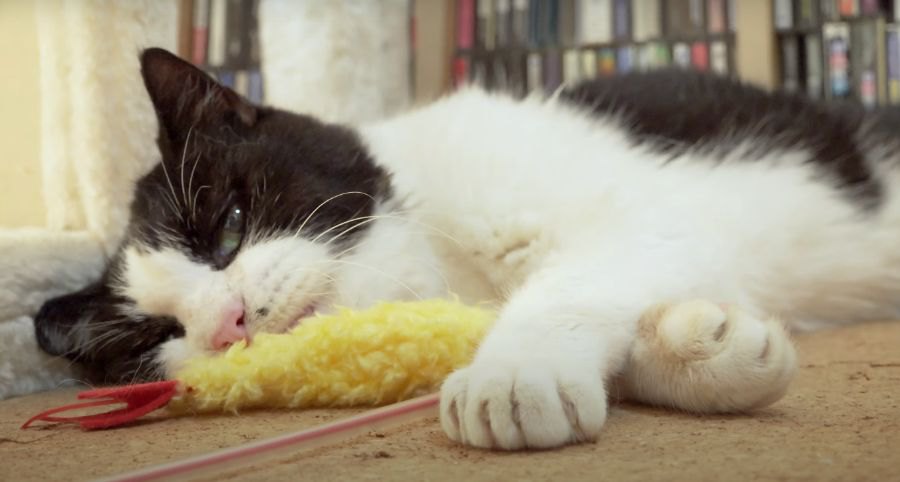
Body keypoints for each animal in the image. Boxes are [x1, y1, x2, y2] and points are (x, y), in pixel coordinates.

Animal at [33, 47, 900, 450]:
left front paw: (515, 374)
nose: (229, 320)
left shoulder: (641, 212)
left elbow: (576, 279)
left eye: (230, 226)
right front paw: (711, 345)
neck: (443, 263)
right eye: (161, 335)